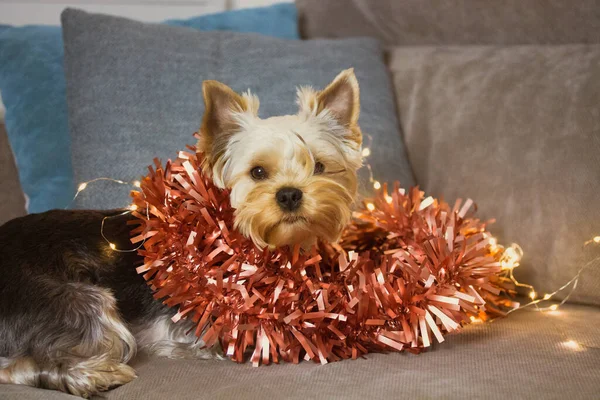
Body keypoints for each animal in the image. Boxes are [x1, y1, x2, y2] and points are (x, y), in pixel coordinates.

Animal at [0, 69, 360, 396]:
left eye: (320, 167)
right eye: (258, 172)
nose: (289, 195)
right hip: (76, 302)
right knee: (23, 362)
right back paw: (91, 375)